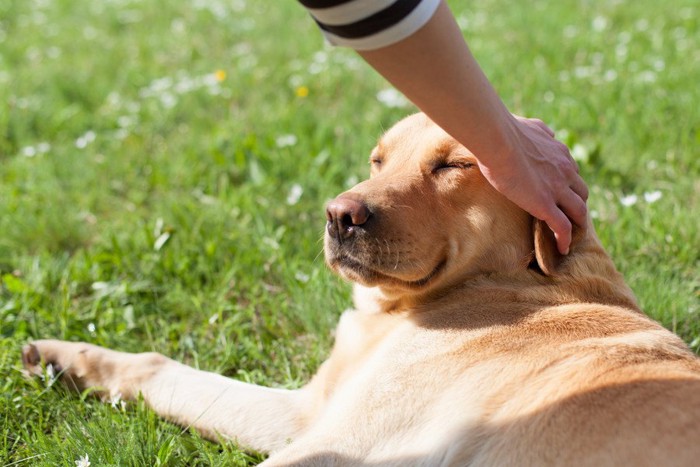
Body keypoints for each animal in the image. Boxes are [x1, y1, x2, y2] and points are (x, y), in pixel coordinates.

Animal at [21, 114, 700, 467]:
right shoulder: (308, 415)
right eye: (377, 160)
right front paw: (62, 359)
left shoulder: (336, 444)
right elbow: (163, 370)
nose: (338, 215)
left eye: (455, 165)